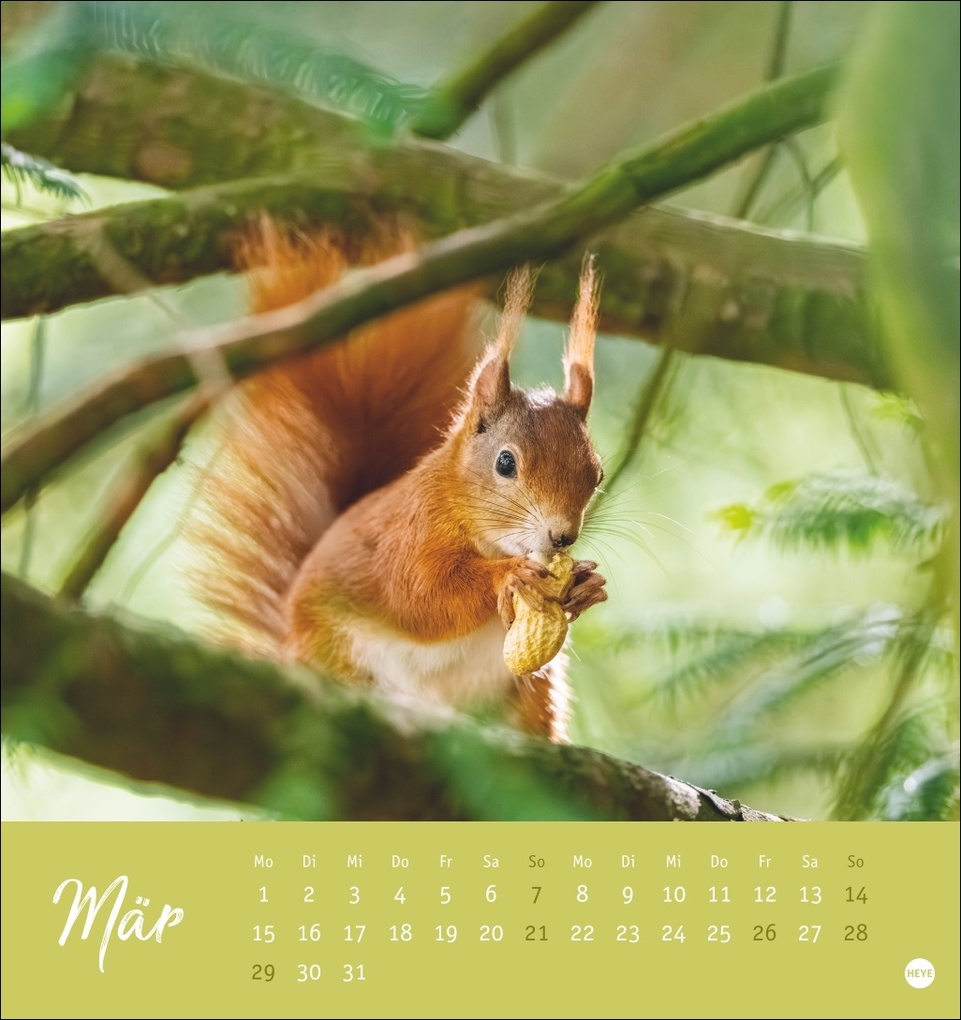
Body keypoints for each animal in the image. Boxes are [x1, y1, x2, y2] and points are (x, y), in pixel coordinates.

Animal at [189, 221, 607, 742]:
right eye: (506, 463)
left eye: (598, 472)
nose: (562, 535)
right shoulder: (408, 538)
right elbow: (423, 597)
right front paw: (507, 577)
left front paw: (588, 585)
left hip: (531, 689)